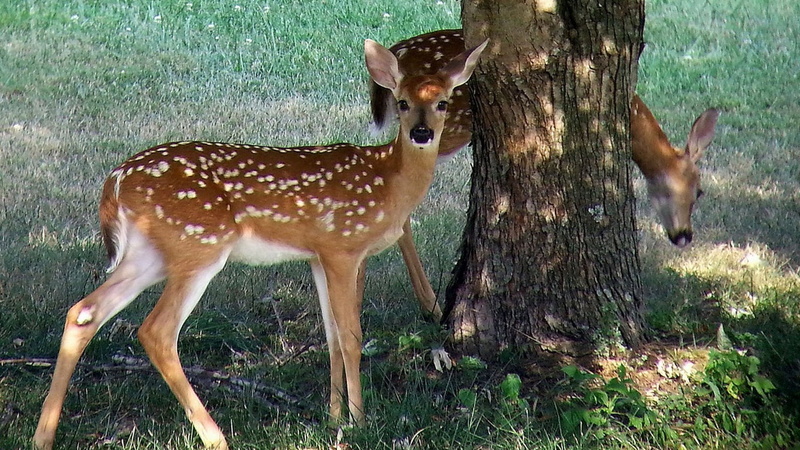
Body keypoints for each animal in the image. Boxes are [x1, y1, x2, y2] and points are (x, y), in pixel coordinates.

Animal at [33, 38, 488, 450]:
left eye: (443, 102)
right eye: (403, 102)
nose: (422, 133)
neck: (388, 182)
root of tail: (115, 180)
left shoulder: (318, 255)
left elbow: (330, 336)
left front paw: (334, 416)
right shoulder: (341, 247)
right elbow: (351, 335)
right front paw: (359, 420)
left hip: (150, 252)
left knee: (84, 312)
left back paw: (44, 435)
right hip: (198, 244)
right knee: (156, 331)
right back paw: (215, 438)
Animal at [368, 29, 719, 322]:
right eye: (693, 190)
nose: (684, 235)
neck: (627, 116)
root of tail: (398, 50)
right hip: (442, 129)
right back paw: (431, 306)